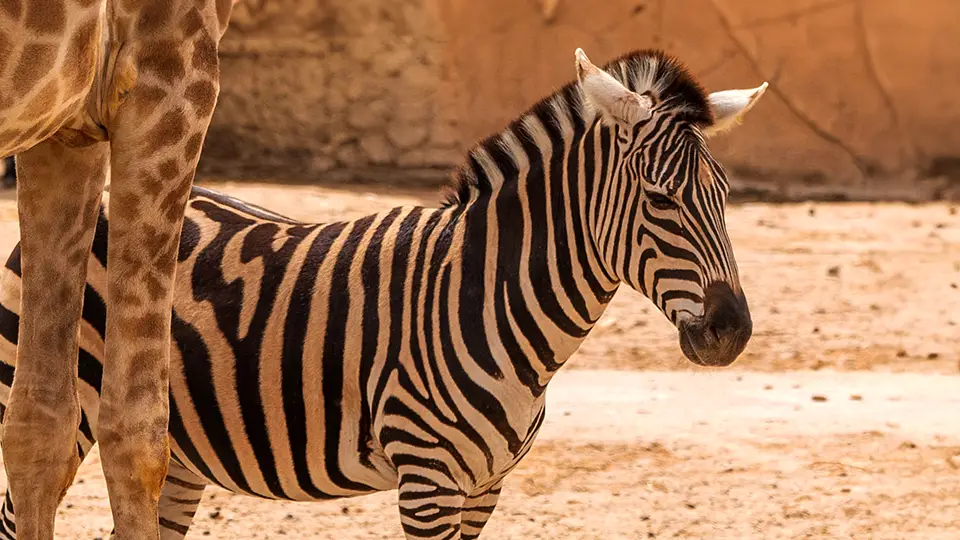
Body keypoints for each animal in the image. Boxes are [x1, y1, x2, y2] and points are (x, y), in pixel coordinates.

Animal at [0, 48, 764, 539]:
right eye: (660, 199)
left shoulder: (484, 487)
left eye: (726, 195)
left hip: (180, 453)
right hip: (59, 399)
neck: (490, 294)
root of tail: (99, 204)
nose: (731, 331)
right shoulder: (428, 480)